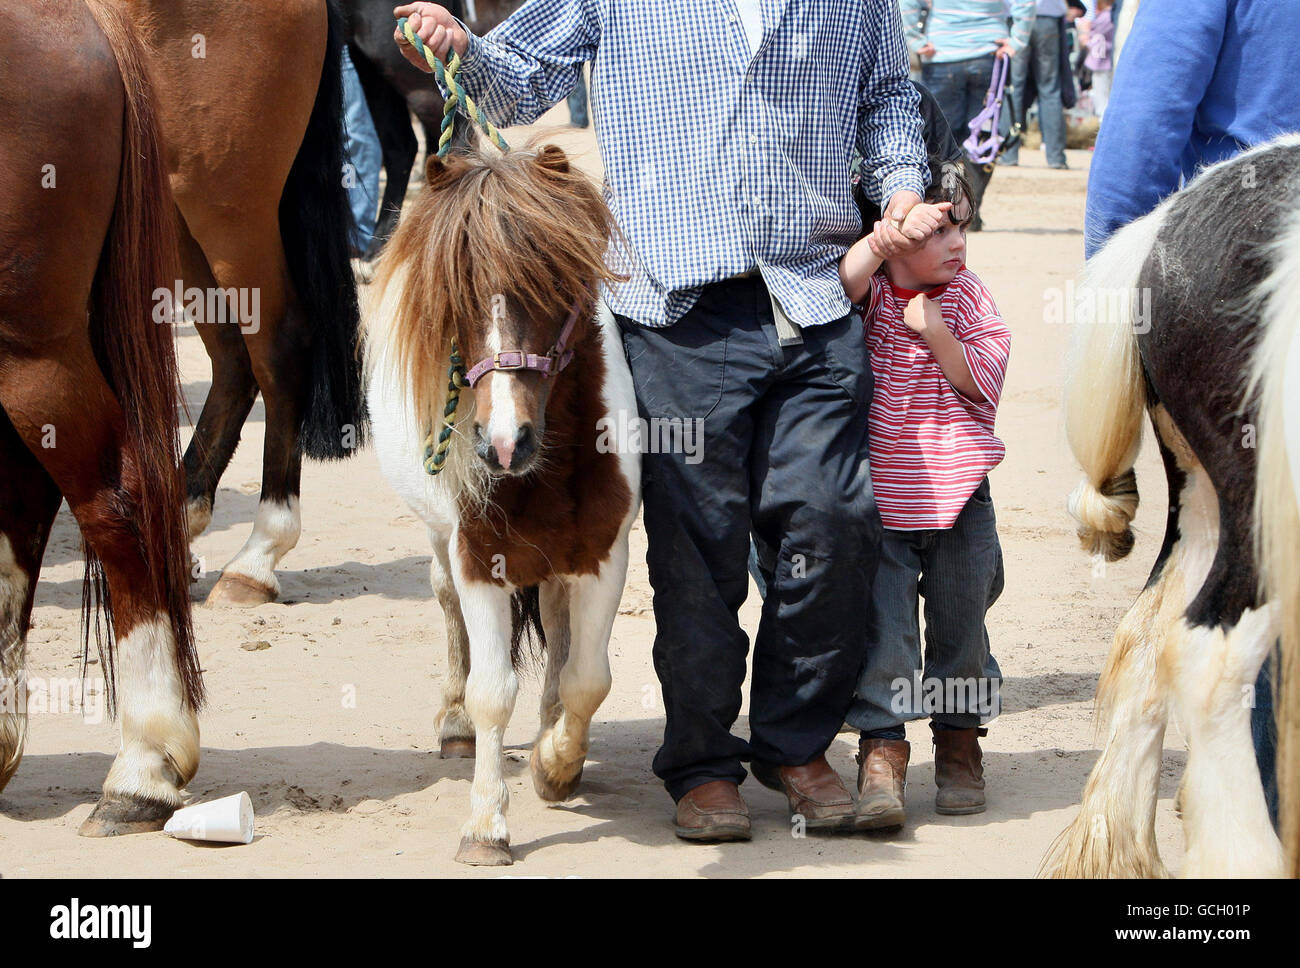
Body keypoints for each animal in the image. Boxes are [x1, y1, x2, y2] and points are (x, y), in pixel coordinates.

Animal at [364, 141, 637, 862]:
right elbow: (493, 693)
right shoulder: (478, 556)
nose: (504, 443)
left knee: (559, 632)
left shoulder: (603, 553)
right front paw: (486, 824)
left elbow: (586, 677)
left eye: (551, 287)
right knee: (446, 604)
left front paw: (556, 764)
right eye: (449, 299)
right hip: (441, 541)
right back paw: (455, 723)